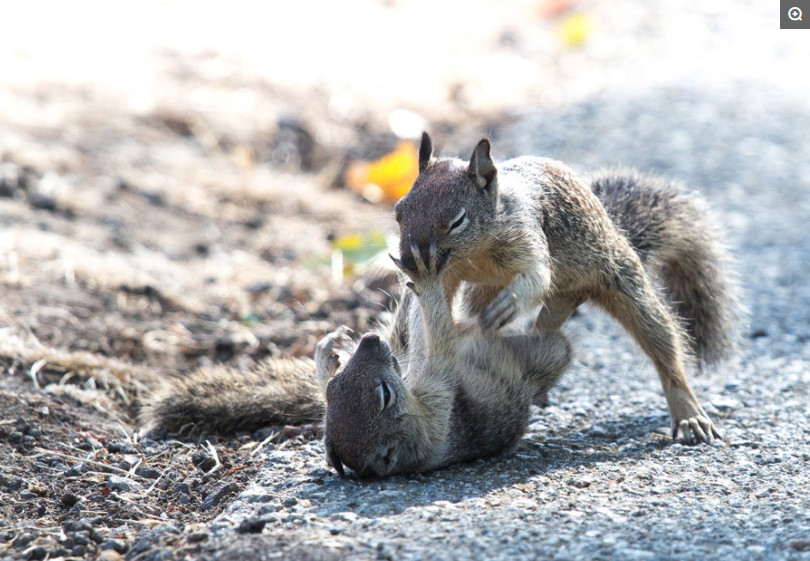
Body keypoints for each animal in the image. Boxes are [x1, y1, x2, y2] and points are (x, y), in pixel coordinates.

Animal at [139, 241, 572, 476]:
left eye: (337, 386)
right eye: (383, 396)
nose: (368, 341)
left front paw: (328, 350)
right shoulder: (436, 405)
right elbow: (439, 348)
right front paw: (427, 280)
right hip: (540, 353)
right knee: (553, 348)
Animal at [392, 133, 740, 444]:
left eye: (457, 221)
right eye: (398, 211)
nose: (409, 260)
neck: (476, 252)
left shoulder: (527, 233)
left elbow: (537, 276)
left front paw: (511, 303)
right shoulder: (447, 276)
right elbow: (425, 315)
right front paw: (420, 364)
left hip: (623, 282)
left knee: (664, 348)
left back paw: (688, 415)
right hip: (495, 297)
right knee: (529, 330)